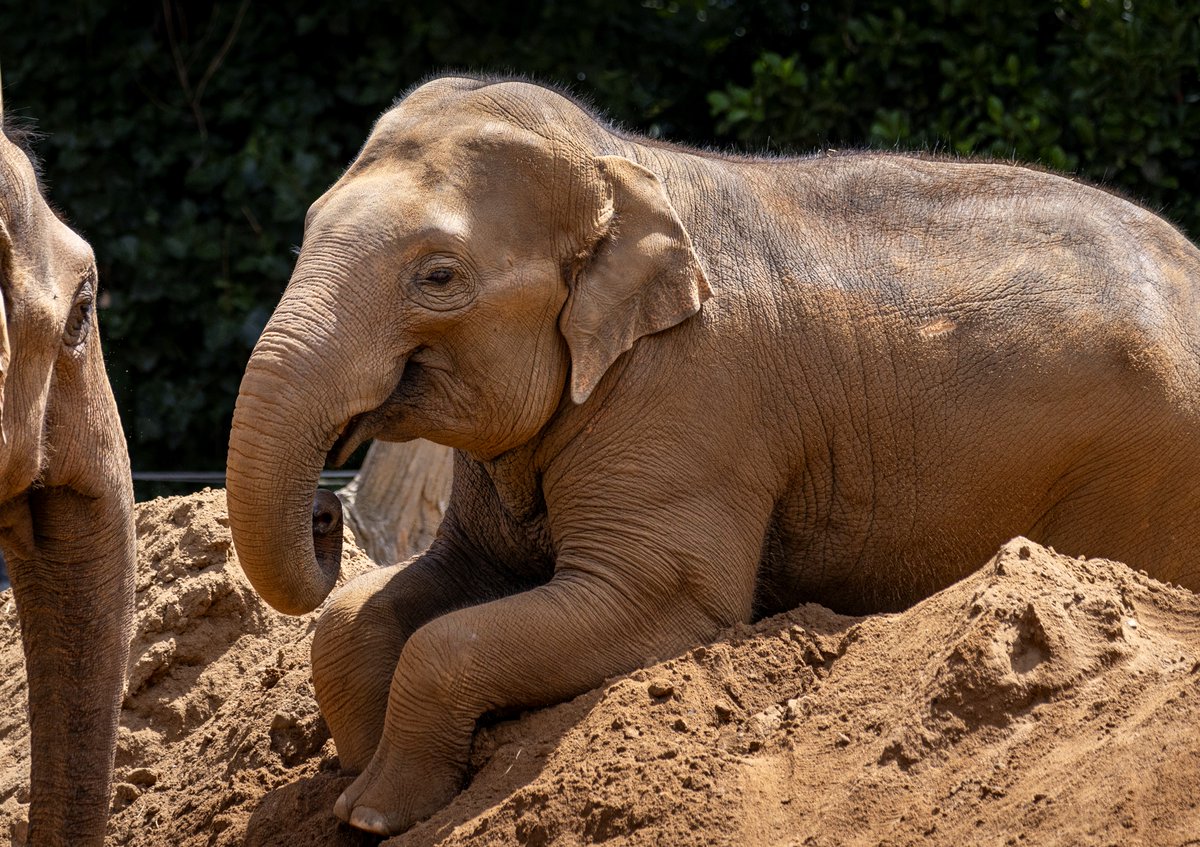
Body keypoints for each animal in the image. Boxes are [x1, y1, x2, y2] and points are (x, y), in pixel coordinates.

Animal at [225, 74, 1200, 830]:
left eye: (439, 275)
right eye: (310, 224)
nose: (324, 508)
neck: (623, 161)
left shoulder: (691, 400)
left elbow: (633, 603)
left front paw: (375, 811)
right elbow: (375, 609)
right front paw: (350, 778)